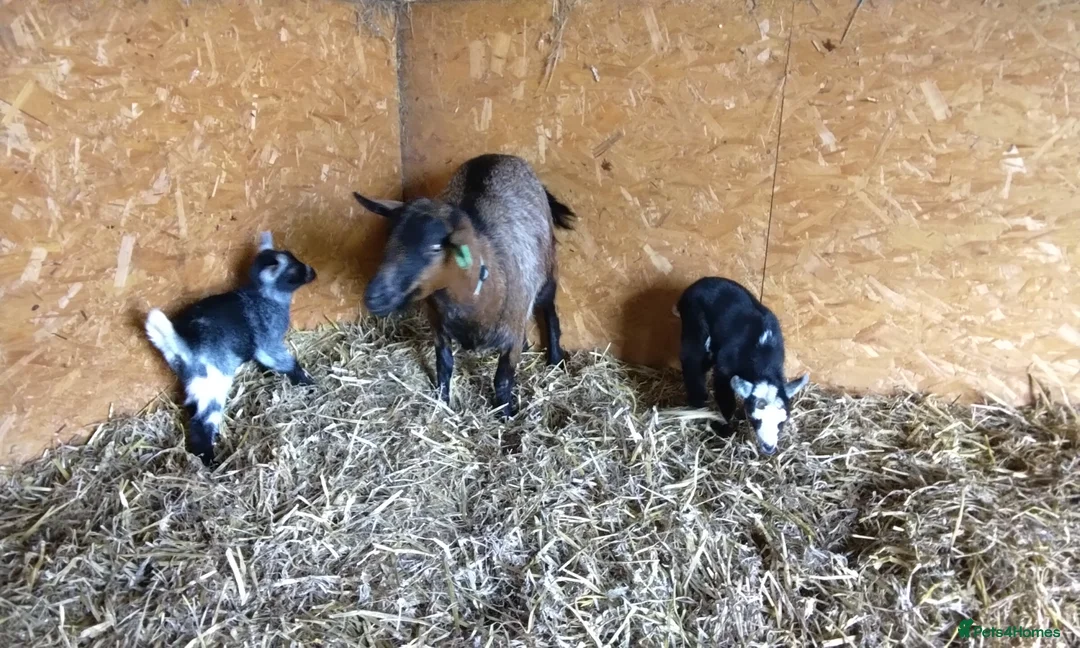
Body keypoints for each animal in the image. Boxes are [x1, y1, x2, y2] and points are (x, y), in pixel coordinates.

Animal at [144, 232, 317, 465]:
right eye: (293, 271)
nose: (313, 272)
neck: (264, 298)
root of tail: (182, 344)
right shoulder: (268, 342)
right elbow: (283, 362)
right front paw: (307, 381)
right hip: (213, 381)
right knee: (202, 422)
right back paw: (209, 458)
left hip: (195, 381)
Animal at [352, 153, 575, 417]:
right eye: (390, 240)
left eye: (434, 248)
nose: (373, 296)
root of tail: (497, 156)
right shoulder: (438, 326)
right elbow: (444, 365)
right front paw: (442, 402)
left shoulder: (511, 334)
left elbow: (502, 379)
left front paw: (505, 414)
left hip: (546, 267)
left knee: (549, 308)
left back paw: (555, 358)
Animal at [674, 276, 808, 455]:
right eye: (754, 418)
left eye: (782, 421)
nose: (769, 447)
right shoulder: (724, 369)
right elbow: (726, 399)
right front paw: (724, 428)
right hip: (694, 320)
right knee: (691, 359)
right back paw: (698, 402)